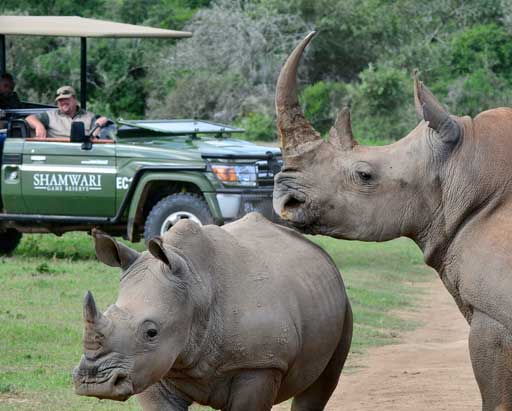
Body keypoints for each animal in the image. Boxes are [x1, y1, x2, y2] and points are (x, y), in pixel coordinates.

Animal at [72, 212, 352, 411]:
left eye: (151, 332)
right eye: (109, 311)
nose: (94, 384)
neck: (195, 284)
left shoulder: (260, 365)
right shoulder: (150, 366)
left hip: (342, 304)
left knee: (321, 384)